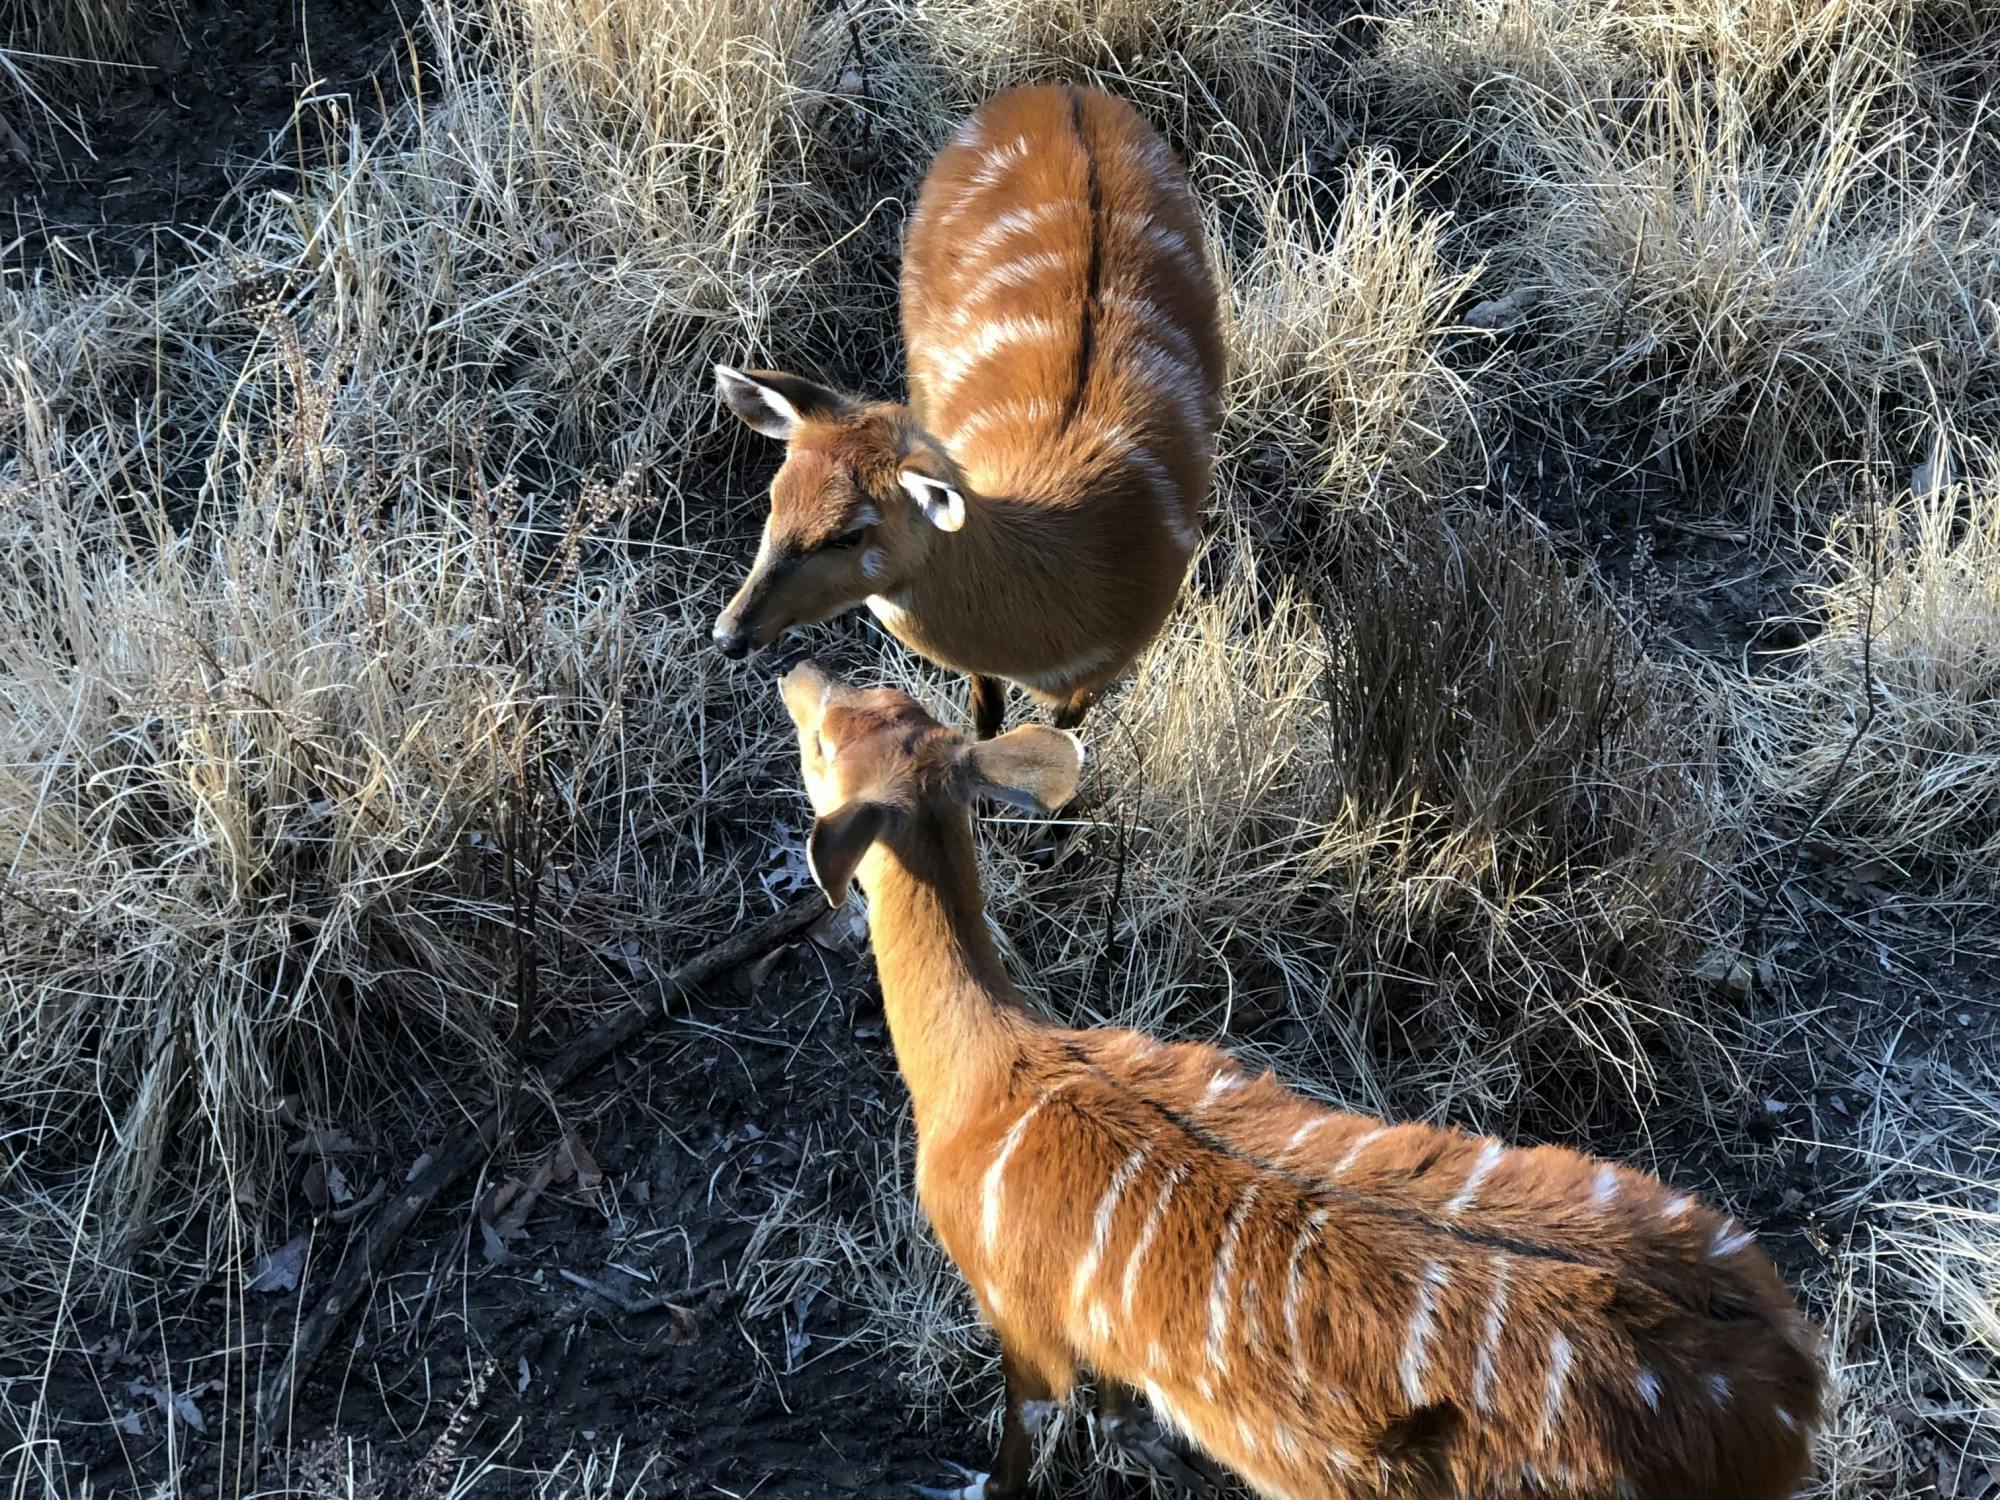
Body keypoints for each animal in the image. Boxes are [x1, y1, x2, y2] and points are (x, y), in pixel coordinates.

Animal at [714, 84, 1224, 739]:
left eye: (849, 533)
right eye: (775, 498)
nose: (730, 635)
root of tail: (1062, 91)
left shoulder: (1108, 667)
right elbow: (987, 712)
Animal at [778, 659, 1825, 1500]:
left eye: (824, 742)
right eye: (882, 706)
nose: (797, 669)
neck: (986, 1068)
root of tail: (1788, 1384)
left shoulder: (1016, 1309)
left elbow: (1023, 1444)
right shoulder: (1099, 1333)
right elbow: (1121, 1412)